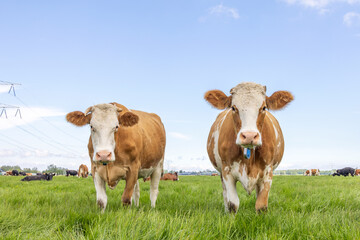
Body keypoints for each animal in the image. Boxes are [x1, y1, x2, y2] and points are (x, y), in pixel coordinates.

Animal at [205, 82, 292, 212]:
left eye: (264, 108)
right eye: (233, 108)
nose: (249, 136)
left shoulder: (268, 172)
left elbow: (261, 206)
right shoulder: (227, 171)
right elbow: (233, 204)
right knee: (225, 194)